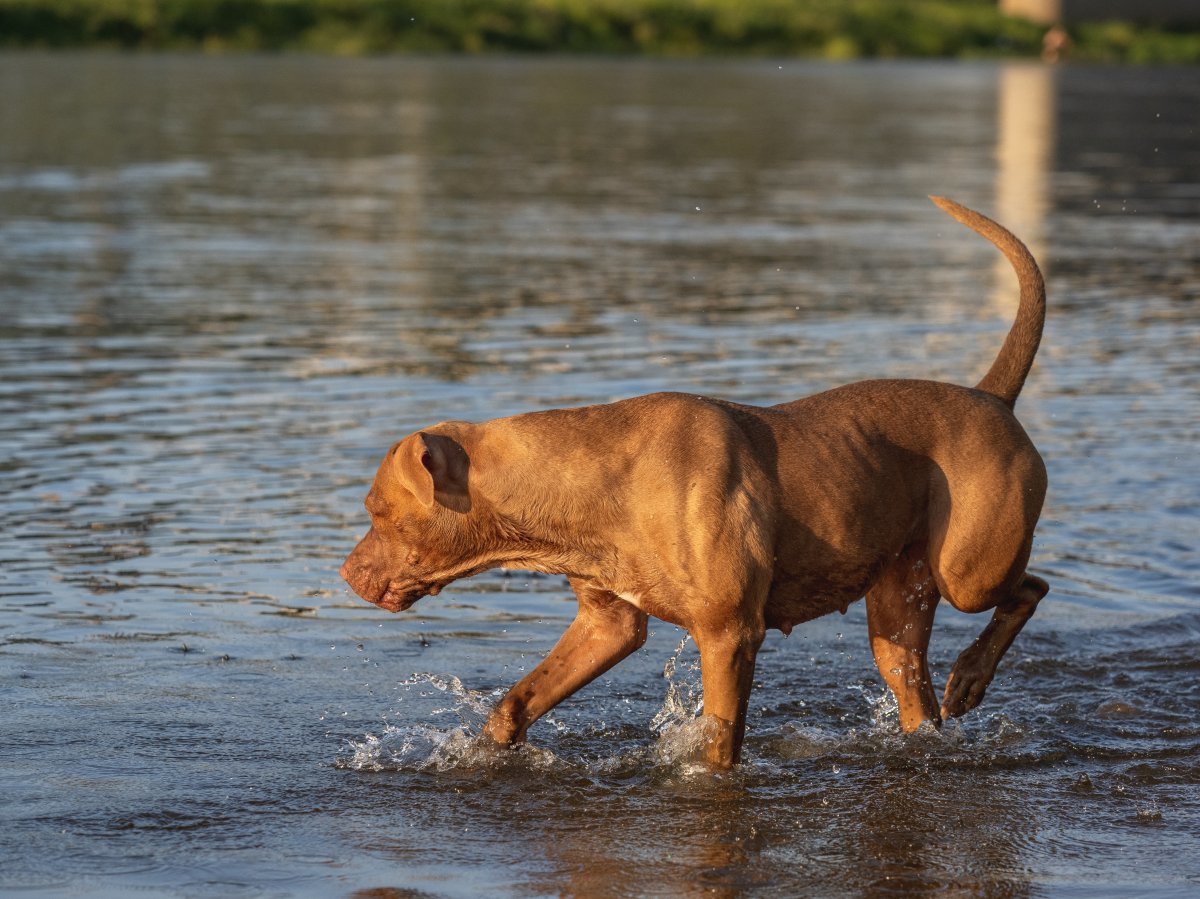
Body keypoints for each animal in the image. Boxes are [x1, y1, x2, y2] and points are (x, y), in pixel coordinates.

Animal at [343, 200, 1046, 768]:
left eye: (375, 509)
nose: (346, 573)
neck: (587, 484)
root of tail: (992, 396)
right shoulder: (606, 624)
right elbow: (516, 702)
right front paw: (485, 749)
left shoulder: (729, 634)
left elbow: (716, 738)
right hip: (898, 609)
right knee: (918, 690)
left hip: (969, 572)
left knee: (1029, 588)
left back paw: (971, 674)